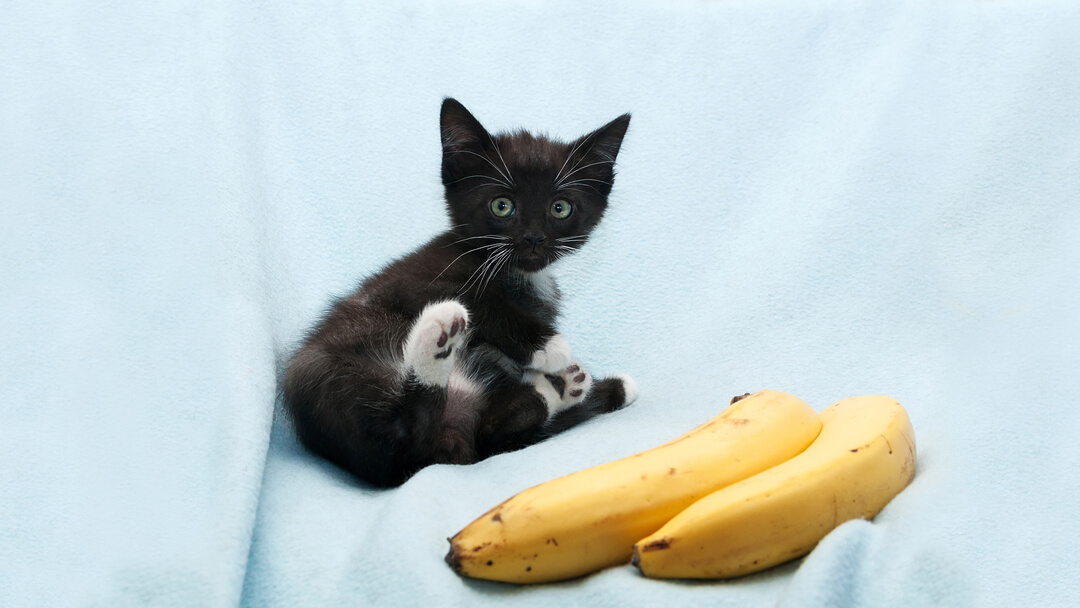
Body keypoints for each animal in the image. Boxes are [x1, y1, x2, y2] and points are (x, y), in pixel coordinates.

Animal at [287, 99, 635, 490]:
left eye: (560, 208)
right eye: (502, 205)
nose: (533, 238)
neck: (518, 274)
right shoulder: (417, 279)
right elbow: (481, 301)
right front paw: (548, 345)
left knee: (488, 434)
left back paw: (564, 389)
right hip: (328, 375)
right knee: (402, 436)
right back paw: (438, 340)